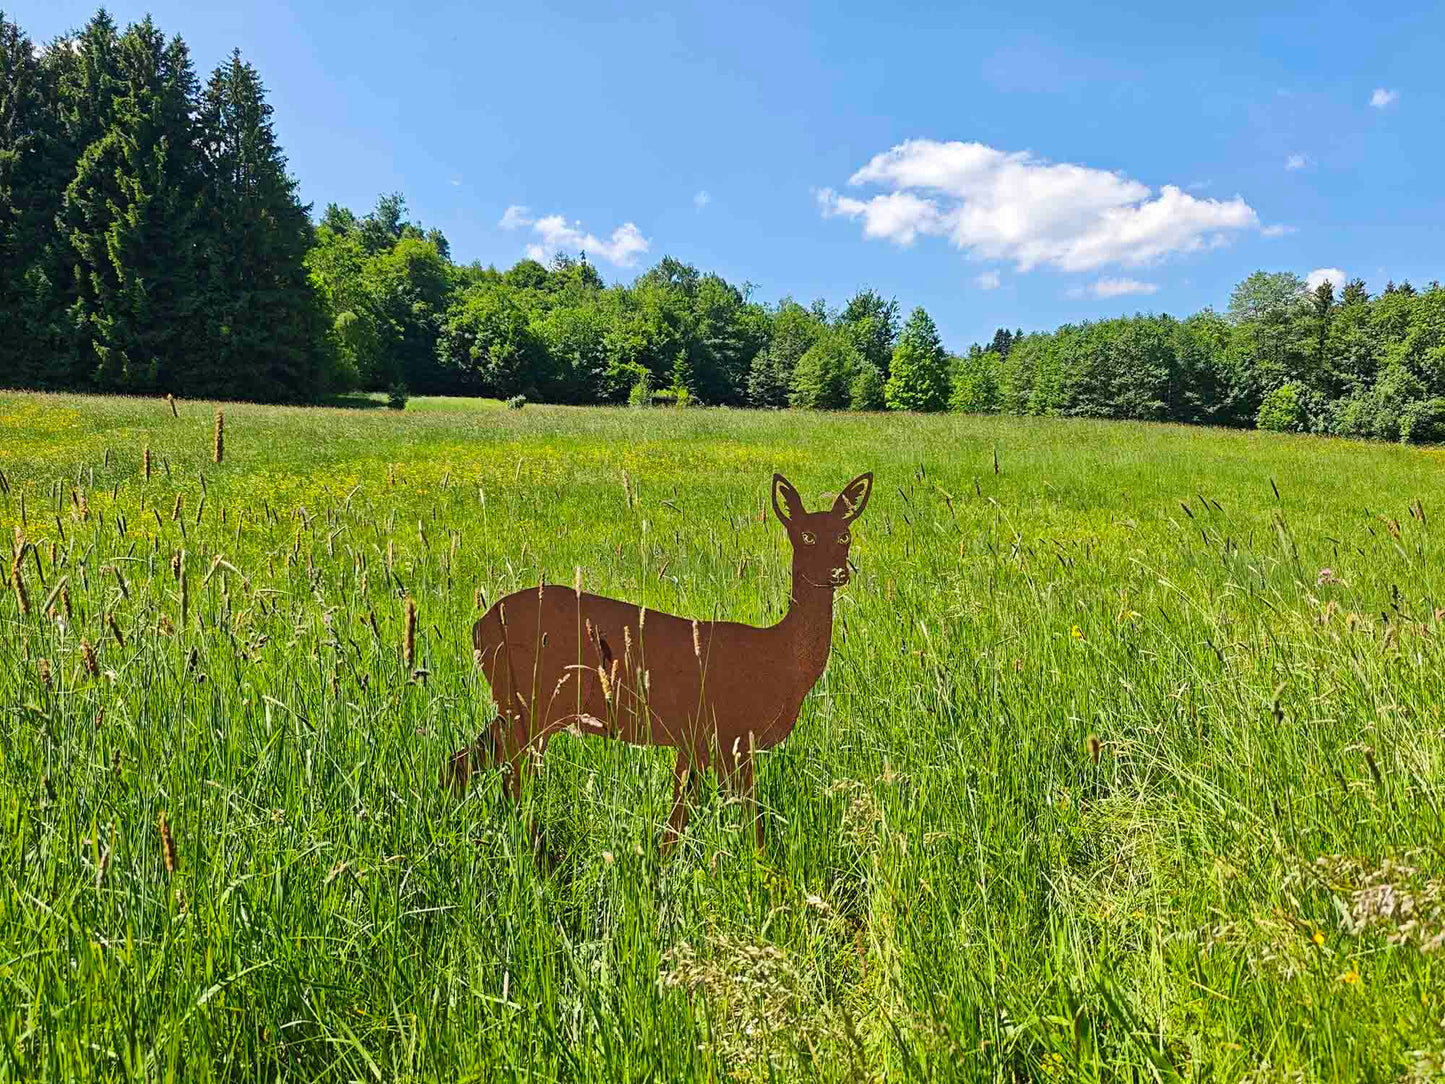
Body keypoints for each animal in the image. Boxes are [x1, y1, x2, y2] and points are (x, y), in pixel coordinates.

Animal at [442, 471, 874, 854]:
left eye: (845, 535)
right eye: (806, 536)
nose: (838, 572)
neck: (781, 659)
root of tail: (479, 628)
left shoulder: (698, 741)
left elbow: (678, 820)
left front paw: (661, 869)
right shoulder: (731, 735)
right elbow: (749, 819)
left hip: (518, 706)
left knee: (464, 762)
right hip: (533, 704)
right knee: (514, 780)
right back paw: (540, 858)